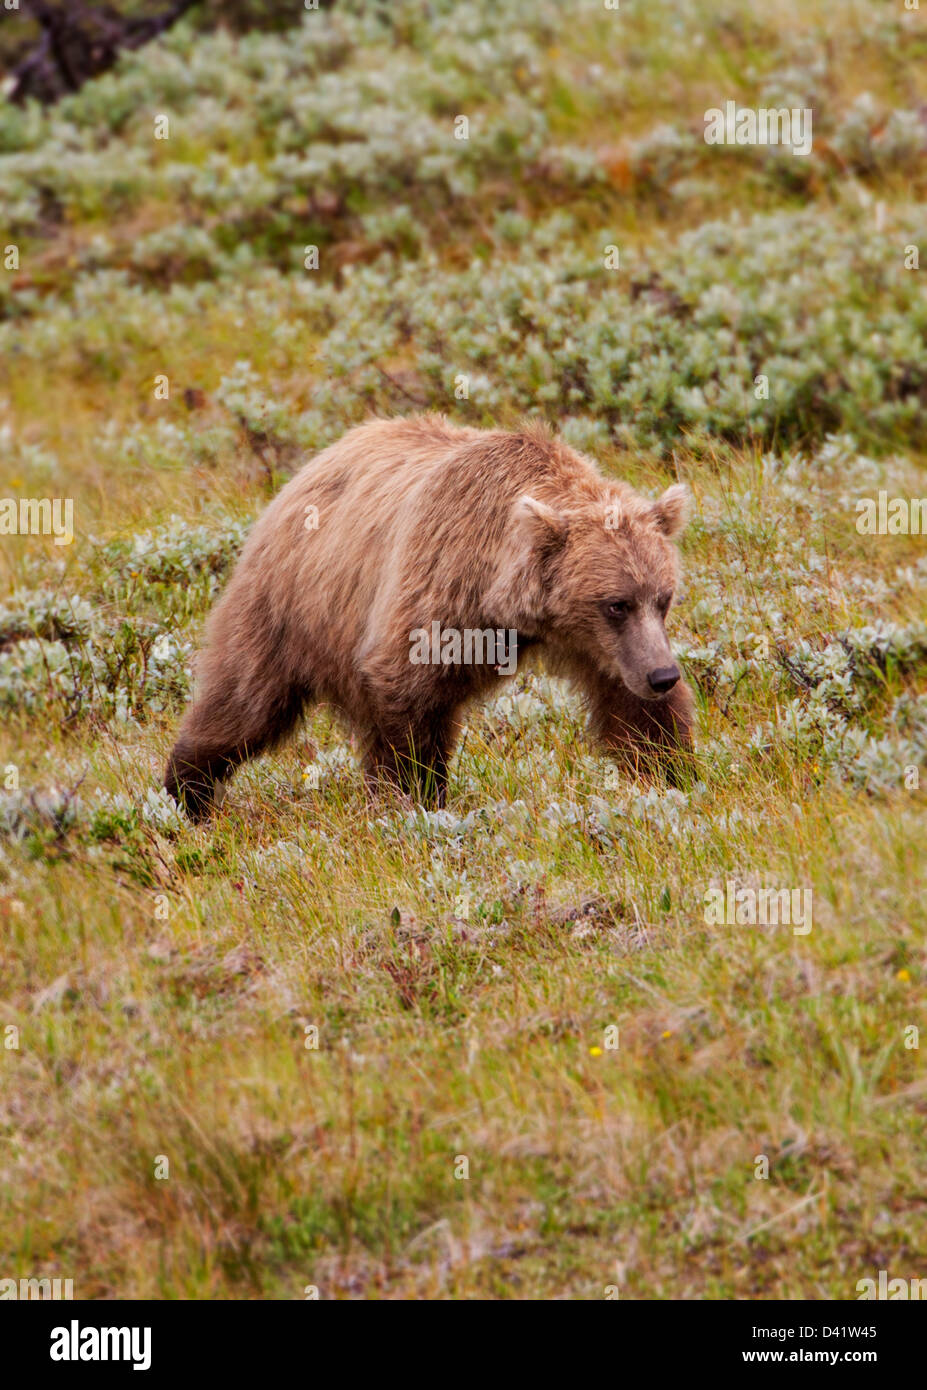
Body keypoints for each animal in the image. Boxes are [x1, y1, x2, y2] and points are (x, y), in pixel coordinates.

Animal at [163, 417, 692, 817]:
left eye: (663, 598)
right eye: (616, 603)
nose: (663, 674)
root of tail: (310, 465)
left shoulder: (601, 646)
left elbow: (632, 706)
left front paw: (672, 771)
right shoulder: (435, 588)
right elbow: (408, 691)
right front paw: (420, 795)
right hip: (288, 606)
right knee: (244, 702)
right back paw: (185, 792)